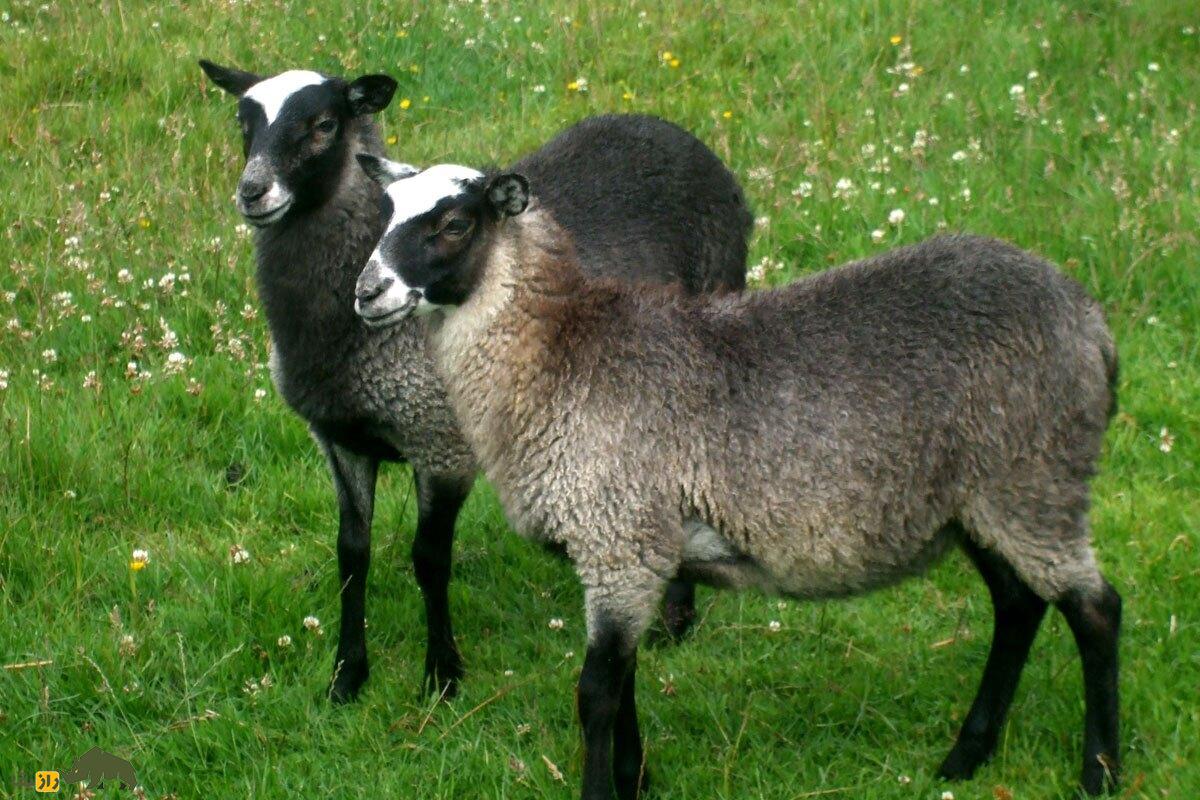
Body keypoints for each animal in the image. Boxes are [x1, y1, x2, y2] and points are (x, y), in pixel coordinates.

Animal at [196, 61, 748, 700]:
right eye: (244, 122)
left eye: (324, 124)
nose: (253, 191)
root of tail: (676, 133)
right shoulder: (341, 441)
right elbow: (351, 554)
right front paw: (347, 677)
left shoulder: (442, 442)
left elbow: (429, 557)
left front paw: (442, 675)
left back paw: (674, 623)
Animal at [350, 164, 1118, 800]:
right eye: (386, 213)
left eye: (454, 224)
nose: (366, 292)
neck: (560, 356)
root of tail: (1092, 324)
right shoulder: (634, 553)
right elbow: (623, 681)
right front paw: (638, 778)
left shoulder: (619, 541)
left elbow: (596, 692)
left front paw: (607, 787)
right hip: (981, 503)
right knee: (1018, 606)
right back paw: (965, 758)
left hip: (1031, 480)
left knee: (1095, 610)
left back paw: (1099, 774)